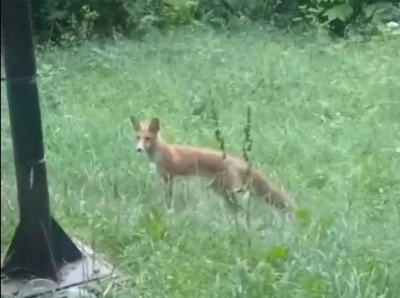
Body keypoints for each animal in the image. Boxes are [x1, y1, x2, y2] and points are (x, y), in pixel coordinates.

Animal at [130, 115, 296, 215]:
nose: (138, 149)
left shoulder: (169, 178)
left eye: (147, 138)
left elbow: (168, 199)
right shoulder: (169, 178)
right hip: (220, 190)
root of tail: (236, 160)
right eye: (138, 137)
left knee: (240, 208)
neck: (161, 152)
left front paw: (168, 211)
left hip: (226, 190)